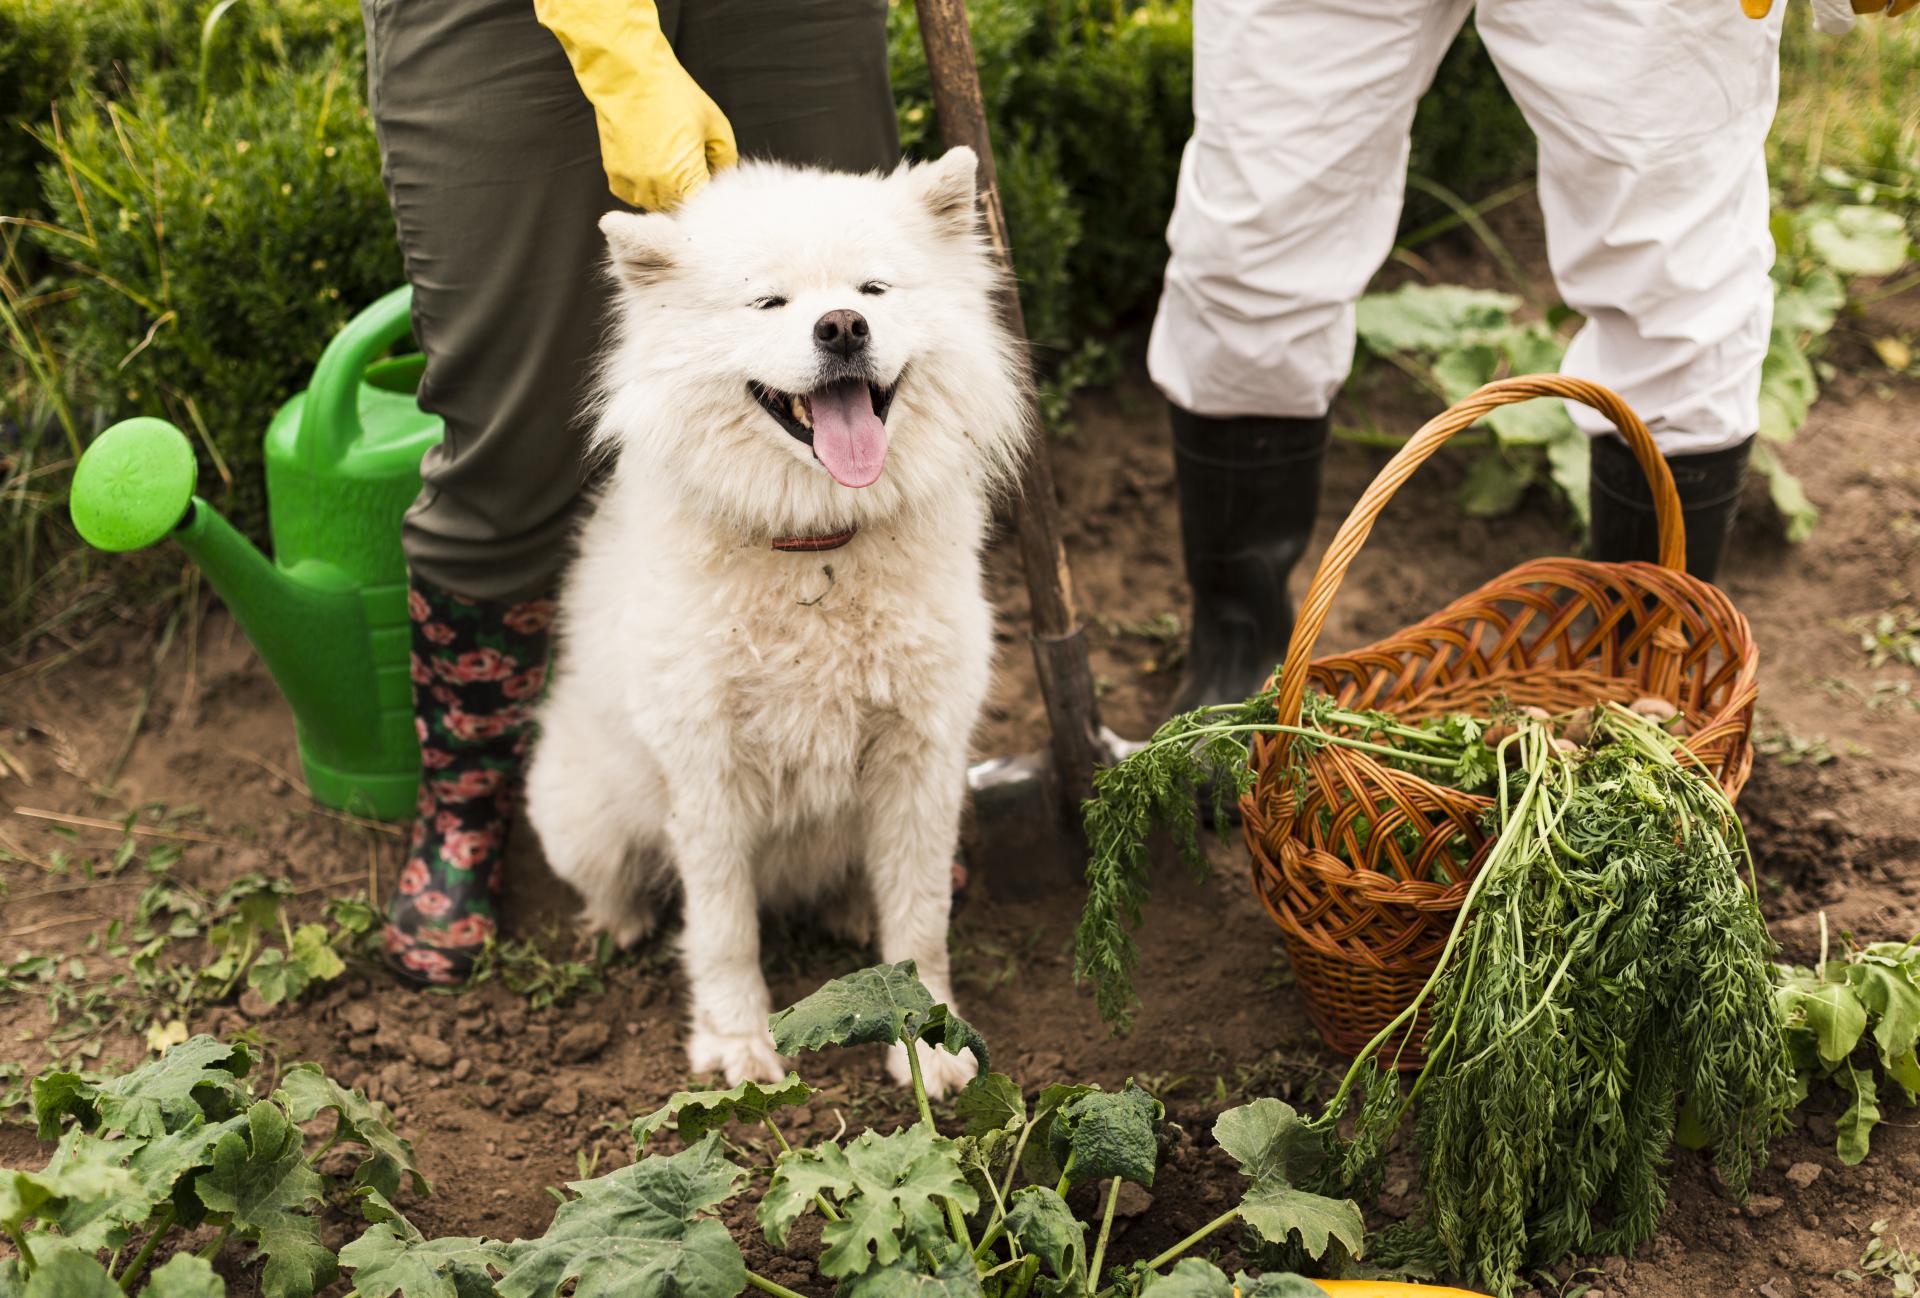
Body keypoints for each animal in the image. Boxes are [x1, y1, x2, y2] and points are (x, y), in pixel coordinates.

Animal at [526, 144, 1029, 1098]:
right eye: (768, 303)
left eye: (873, 288)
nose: (841, 328)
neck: (815, 544)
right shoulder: (708, 771)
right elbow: (724, 928)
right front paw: (738, 1047)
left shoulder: (920, 758)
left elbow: (920, 924)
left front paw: (930, 1047)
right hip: (583, 812)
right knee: (620, 882)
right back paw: (619, 924)